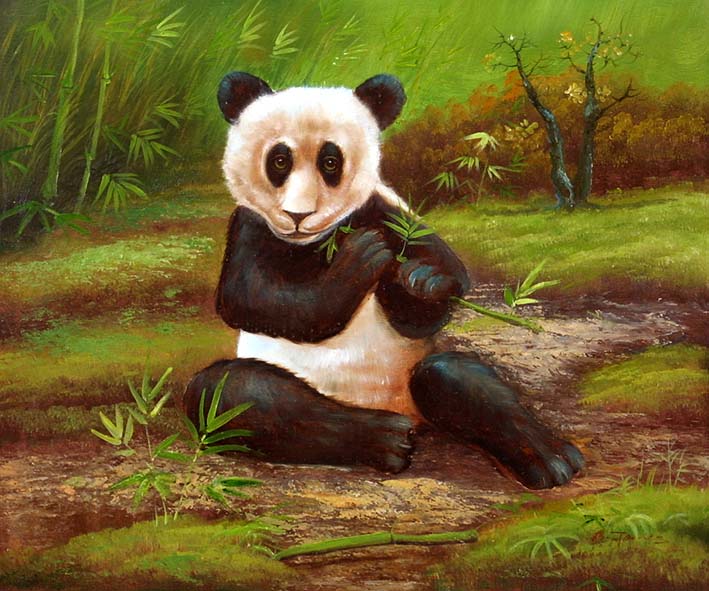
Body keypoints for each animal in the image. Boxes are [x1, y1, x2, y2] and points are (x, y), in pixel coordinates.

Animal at [182, 72, 584, 489]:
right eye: (279, 160)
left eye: (330, 161)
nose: (298, 216)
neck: (316, 244)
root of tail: (389, 408)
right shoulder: (249, 226)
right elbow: (254, 299)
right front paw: (361, 258)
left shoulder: (389, 215)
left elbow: (440, 281)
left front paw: (419, 282)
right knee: (238, 395)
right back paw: (385, 438)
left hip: (413, 378)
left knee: (457, 378)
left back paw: (551, 460)